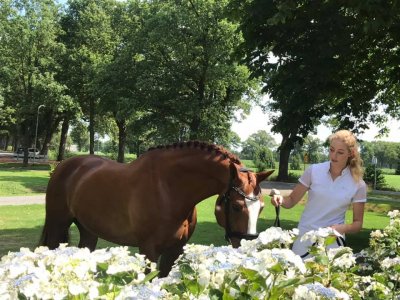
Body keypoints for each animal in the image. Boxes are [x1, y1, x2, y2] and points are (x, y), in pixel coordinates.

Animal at [39, 142, 274, 276]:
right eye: (236, 206)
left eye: (262, 207)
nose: (247, 243)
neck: (169, 188)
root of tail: (62, 166)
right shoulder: (148, 250)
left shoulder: (175, 250)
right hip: (57, 224)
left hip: (88, 230)